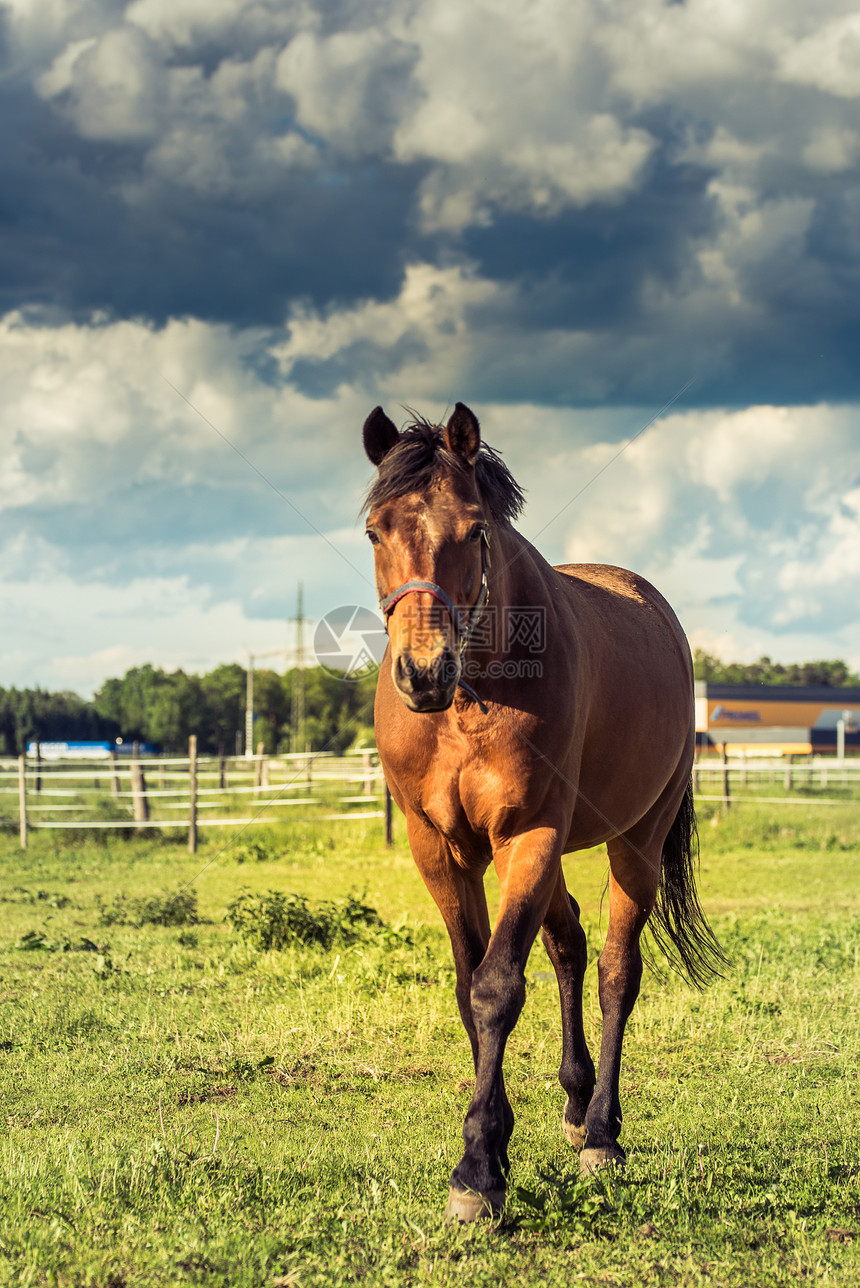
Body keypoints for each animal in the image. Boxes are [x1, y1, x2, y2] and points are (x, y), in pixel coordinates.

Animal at [360, 399, 720, 1215]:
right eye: (374, 530)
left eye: (475, 531)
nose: (423, 673)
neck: (472, 700)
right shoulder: (440, 850)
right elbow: (471, 986)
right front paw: (494, 1140)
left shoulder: (529, 835)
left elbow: (497, 987)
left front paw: (478, 1169)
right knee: (569, 944)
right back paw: (575, 1101)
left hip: (634, 842)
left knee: (617, 970)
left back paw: (602, 1132)